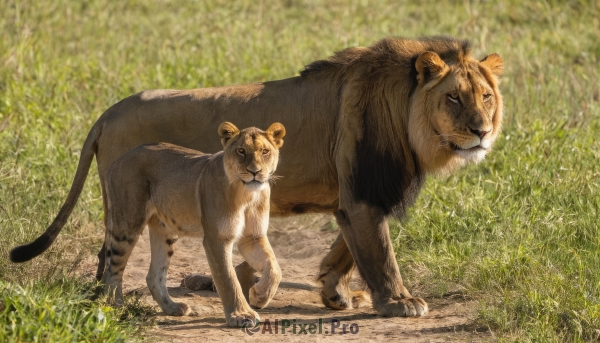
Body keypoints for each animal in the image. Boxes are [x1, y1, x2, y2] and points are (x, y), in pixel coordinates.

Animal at [101, 122, 284, 326]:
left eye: (265, 151)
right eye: (241, 151)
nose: (255, 172)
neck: (247, 194)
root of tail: (118, 160)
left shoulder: (253, 237)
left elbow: (274, 267)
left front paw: (260, 295)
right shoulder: (217, 238)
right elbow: (228, 278)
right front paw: (241, 314)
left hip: (165, 230)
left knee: (154, 275)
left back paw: (172, 308)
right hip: (127, 223)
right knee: (113, 269)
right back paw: (116, 306)